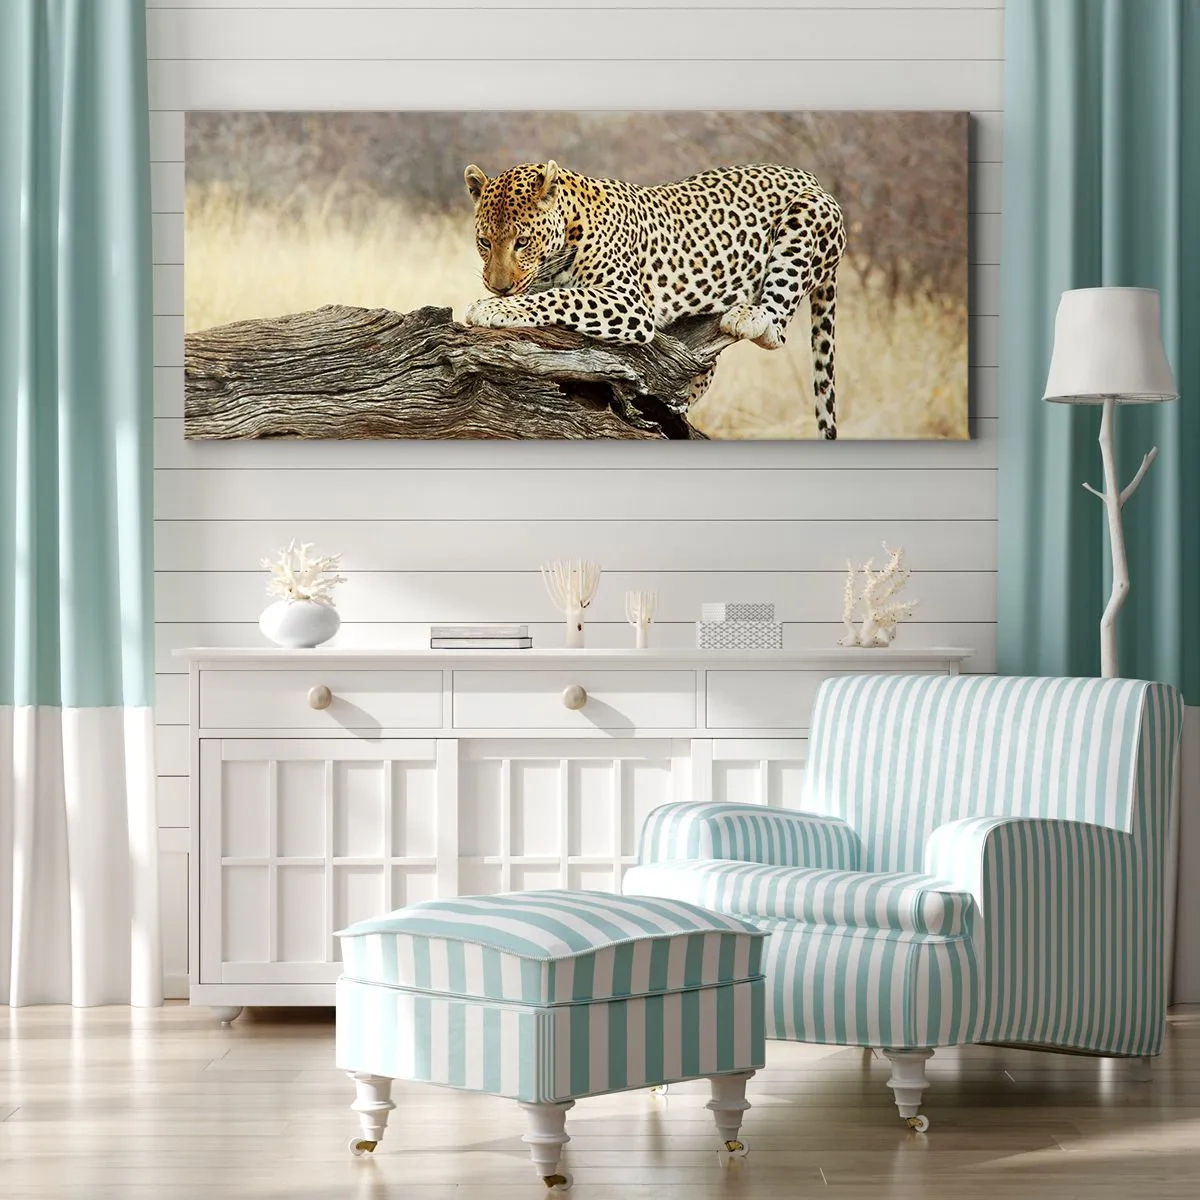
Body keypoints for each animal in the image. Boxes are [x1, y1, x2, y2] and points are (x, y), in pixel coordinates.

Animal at [462, 159, 847, 438]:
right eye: (484, 242)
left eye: (522, 242)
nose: (498, 288)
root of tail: (810, 177)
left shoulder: (628, 301)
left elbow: (562, 297)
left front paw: (492, 308)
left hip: (807, 216)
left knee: (777, 327)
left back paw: (749, 317)